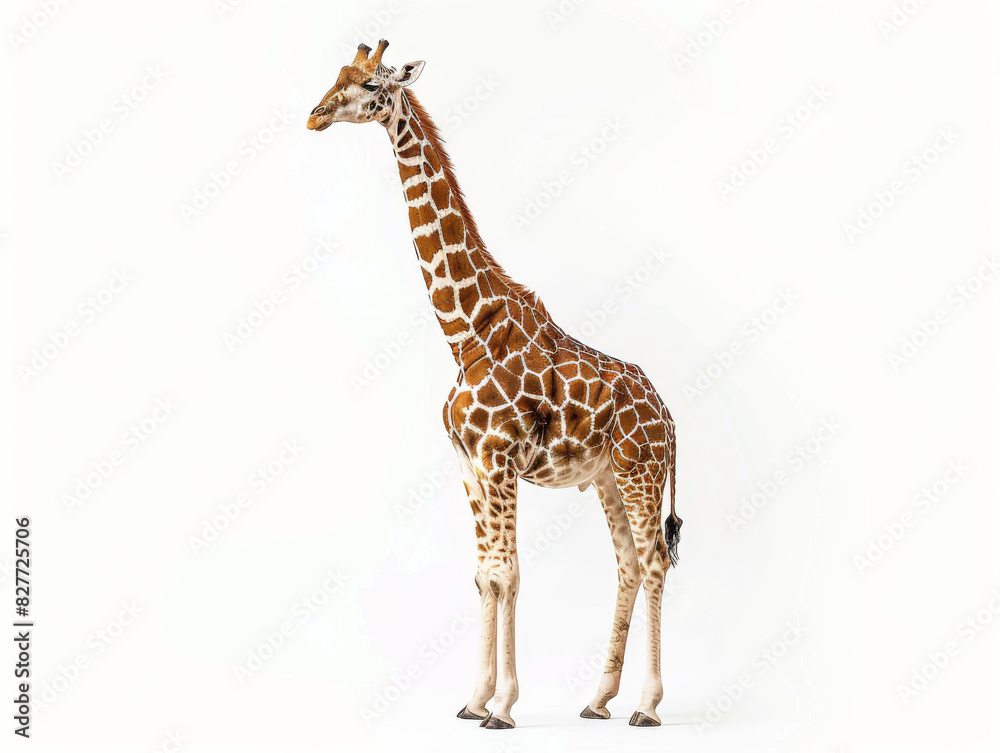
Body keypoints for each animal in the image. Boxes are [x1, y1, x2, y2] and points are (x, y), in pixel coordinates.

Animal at [307, 40, 682, 729]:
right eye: (336, 75)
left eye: (371, 84)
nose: (315, 115)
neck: (465, 331)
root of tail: (671, 419)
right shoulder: (469, 464)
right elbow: (485, 575)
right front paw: (474, 698)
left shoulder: (500, 458)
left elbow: (508, 573)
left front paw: (503, 707)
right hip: (608, 480)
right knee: (626, 565)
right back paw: (597, 700)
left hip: (640, 475)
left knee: (653, 562)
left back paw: (646, 706)